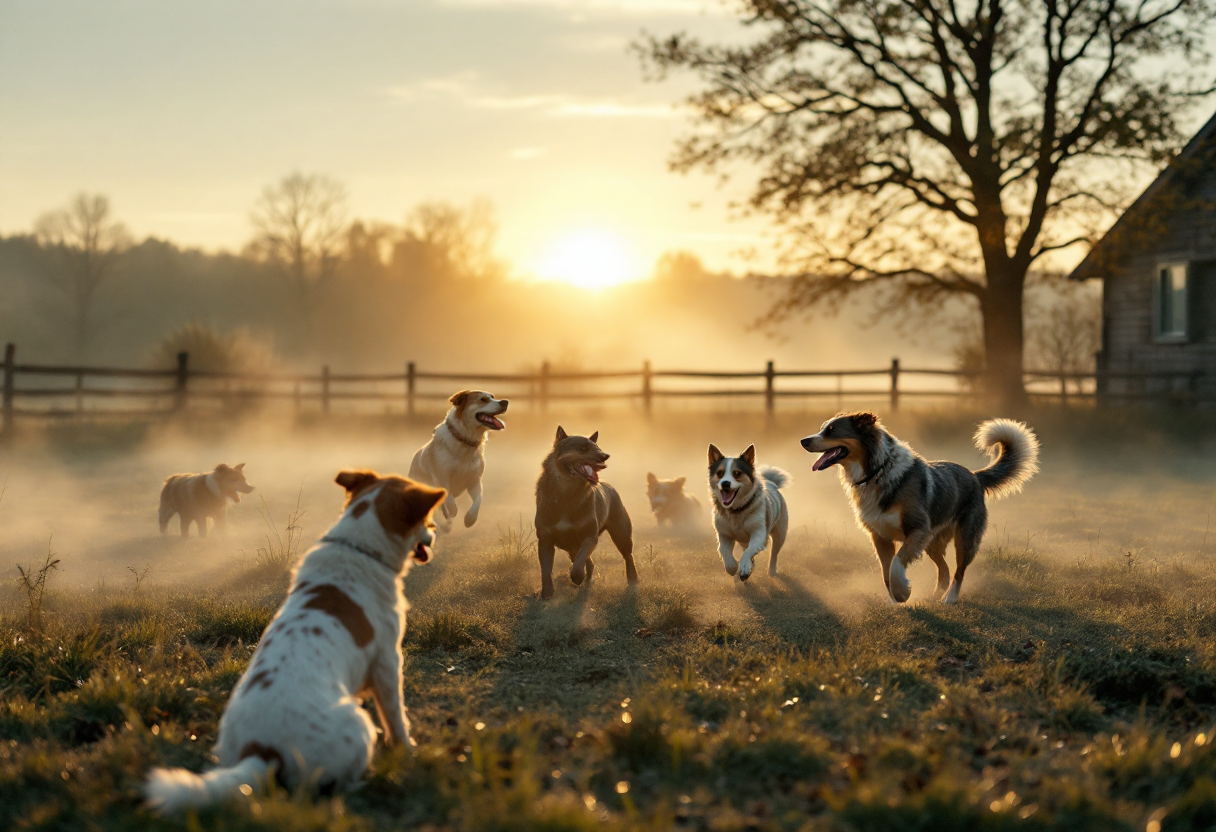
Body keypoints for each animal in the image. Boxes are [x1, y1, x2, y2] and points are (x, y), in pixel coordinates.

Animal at [143, 467, 447, 812]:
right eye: (425, 519)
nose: (435, 532)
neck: (356, 545)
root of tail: (261, 752)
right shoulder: (387, 661)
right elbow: (396, 718)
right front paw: (407, 751)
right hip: (359, 725)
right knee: (336, 784)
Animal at [710, 445, 792, 581]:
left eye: (737, 473)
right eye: (720, 473)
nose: (725, 483)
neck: (737, 511)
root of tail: (771, 483)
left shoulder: (759, 532)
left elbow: (749, 551)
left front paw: (744, 569)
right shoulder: (724, 534)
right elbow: (724, 551)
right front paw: (733, 568)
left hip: (780, 533)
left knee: (774, 552)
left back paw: (771, 571)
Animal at [802, 413, 1040, 603]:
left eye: (832, 430)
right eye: (823, 428)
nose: (803, 440)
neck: (878, 471)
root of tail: (975, 476)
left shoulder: (917, 529)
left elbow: (896, 565)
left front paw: (903, 592)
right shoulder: (880, 536)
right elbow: (886, 572)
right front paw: (895, 599)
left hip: (965, 538)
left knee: (959, 571)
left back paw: (950, 599)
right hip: (932, 543)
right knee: (944, 570)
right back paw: (935, 597)